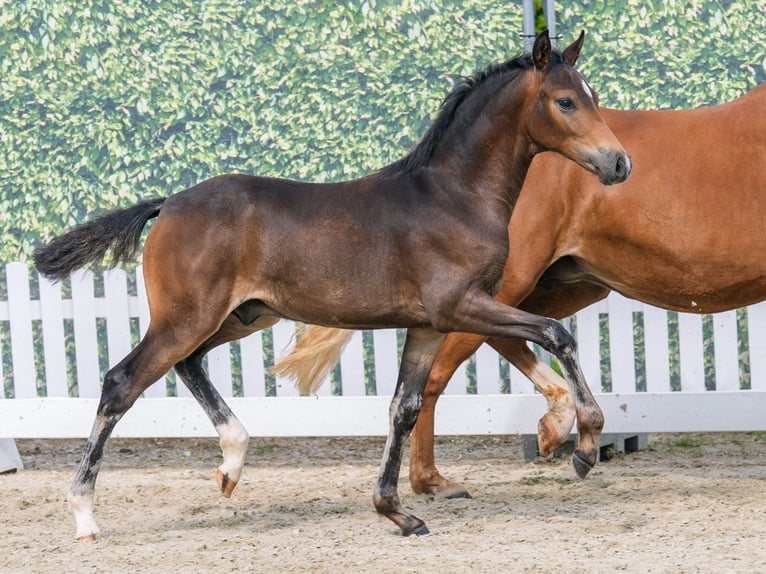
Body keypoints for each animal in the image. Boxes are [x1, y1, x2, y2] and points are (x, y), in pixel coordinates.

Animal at [34, 31, 630, 539]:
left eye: (594, 96)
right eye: (566, 102)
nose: (620, 163)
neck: (454, 196)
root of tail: (169, 204)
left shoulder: (427, 326)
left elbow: (403, 408)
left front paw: (396, 512)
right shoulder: (462, 306)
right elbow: (556, 332)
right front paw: (586, 443)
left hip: (241, 316)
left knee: (189, 364)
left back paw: (232, 464)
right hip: (188, 318)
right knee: (121, 383)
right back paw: (85, 515)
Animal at [275, 82, 766, 499]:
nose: (619, 166)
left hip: (559, 286)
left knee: (514, 338)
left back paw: (555, 428)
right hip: (498, 289)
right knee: (438, 375)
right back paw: (433, 479)